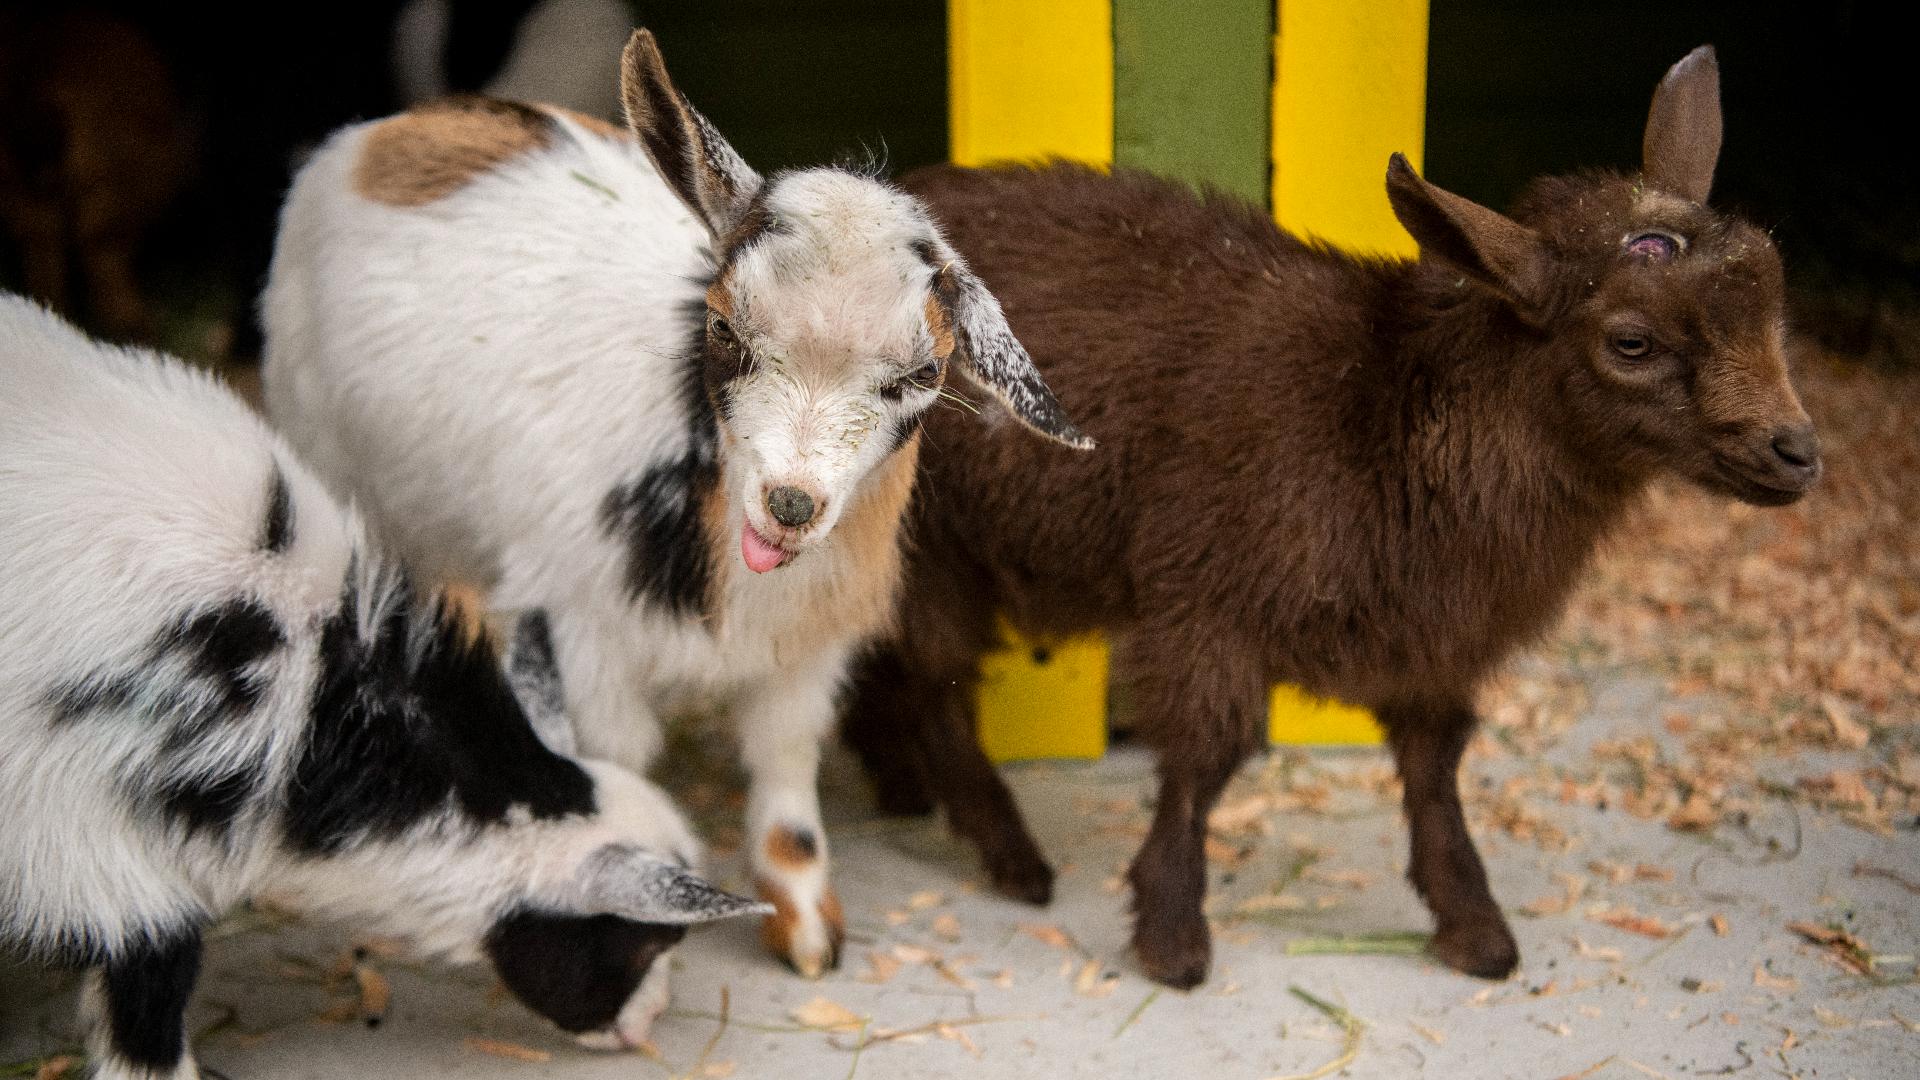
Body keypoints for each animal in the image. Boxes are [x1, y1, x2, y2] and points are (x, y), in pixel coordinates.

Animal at [263, 27, 1090, 976]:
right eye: (725, 329)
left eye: (921, 375)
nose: (791, 503)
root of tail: (390, 133)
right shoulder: (585, 636)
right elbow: (620, 763)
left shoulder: (808, 648)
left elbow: (786, 767)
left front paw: (807, 933)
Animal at [848, 52, 1820, 991]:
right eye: (1631, 341)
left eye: (1772, 291)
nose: (1798, 452)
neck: (1380, 416)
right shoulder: (1206, 606)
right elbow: (1201, 766)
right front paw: (1172, 936)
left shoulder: (1436, 644)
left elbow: (1435, 774)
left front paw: (1475, 926)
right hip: (930, 543)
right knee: (935, 678)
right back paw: (1009, 854)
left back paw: (904, 787)